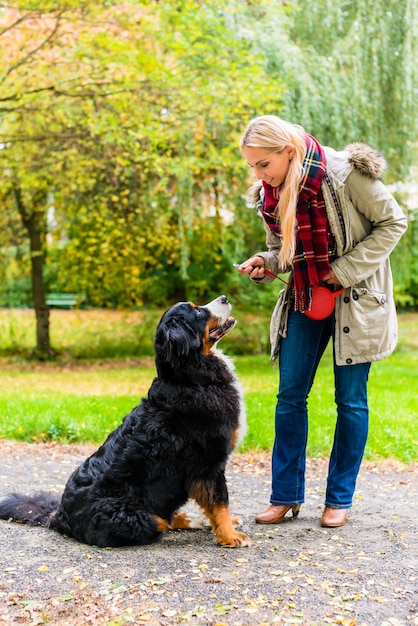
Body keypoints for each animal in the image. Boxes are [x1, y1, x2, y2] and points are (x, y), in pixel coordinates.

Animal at [0, 294, 248, 544]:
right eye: (197, 311)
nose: (224, 298)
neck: (191, 379)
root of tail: (59, 517)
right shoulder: (209, 463)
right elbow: (220, 502)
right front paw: (230, 536)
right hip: (141, 518)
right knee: (163, 521)